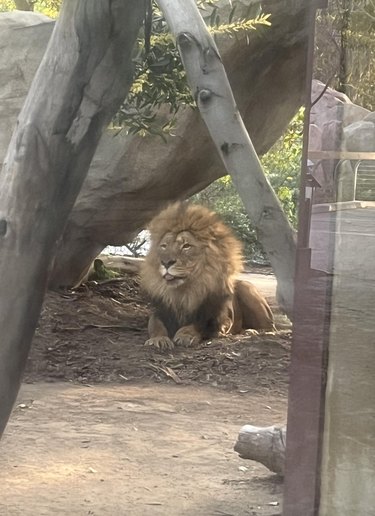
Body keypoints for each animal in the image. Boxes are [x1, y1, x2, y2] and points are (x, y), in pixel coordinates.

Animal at [140, 202, 274, 350]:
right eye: (164, 246)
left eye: (186, 246)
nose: (165, 262)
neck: (184, 292)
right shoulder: (159, 312)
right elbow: (155, 325)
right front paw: (158, 339)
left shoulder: (219, 318)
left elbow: (199, 325)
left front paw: (185, 335)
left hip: (247, 288)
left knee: (270, 328)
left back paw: (252, 332)